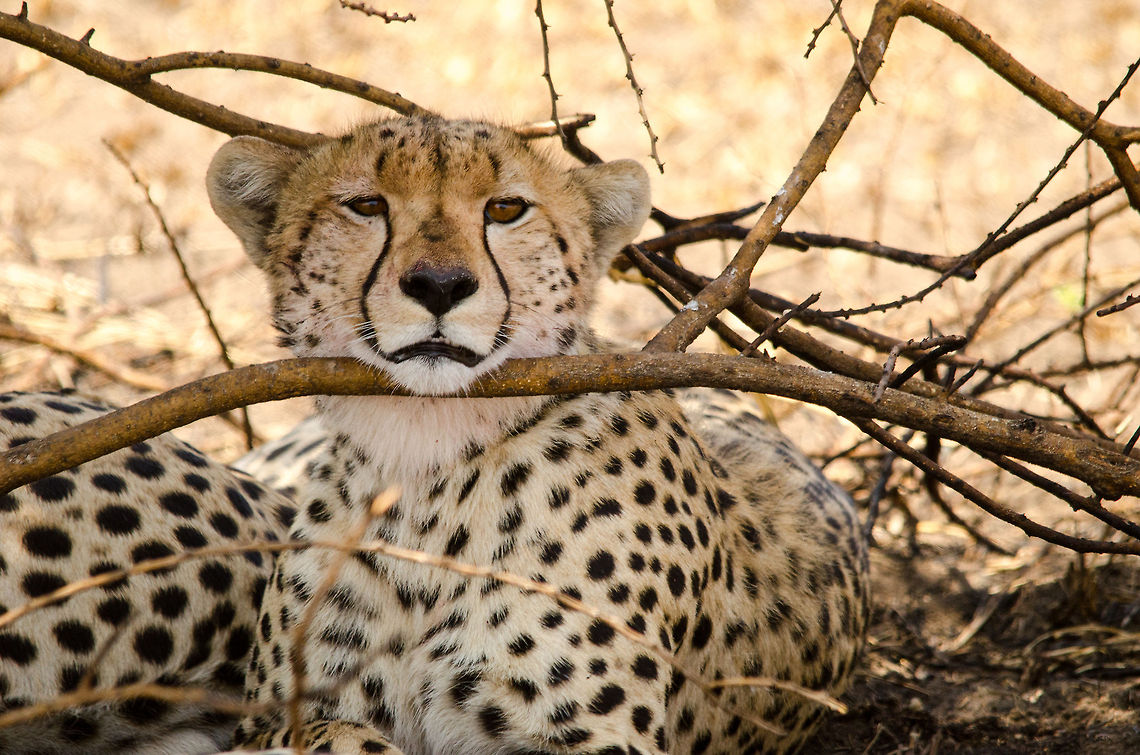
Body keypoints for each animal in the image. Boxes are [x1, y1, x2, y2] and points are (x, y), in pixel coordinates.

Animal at [205, 115, 870, 754]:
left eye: (505, 209)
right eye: (366, 205)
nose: (440, 285)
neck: (425, 458)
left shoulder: (602, 740)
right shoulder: (271, 721)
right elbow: (343, 736)